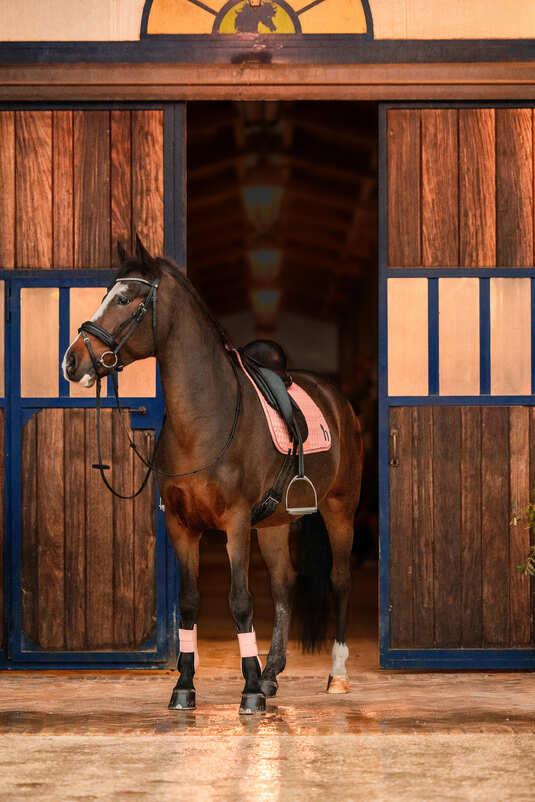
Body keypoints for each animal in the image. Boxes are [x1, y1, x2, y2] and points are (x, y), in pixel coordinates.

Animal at [62, 238, 363, 714]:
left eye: (125, 299)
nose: (71, 362)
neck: (205, 417)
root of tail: (336, 397)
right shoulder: (181, 525)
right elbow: (189, 603)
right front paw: (185, 686)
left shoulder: (235, 524)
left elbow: (241, 602)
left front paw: (249, 691)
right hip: (275, 524)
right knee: (284, 586)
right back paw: (272, 674)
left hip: (340, 510)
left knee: (339, 581)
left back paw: (336, 675)